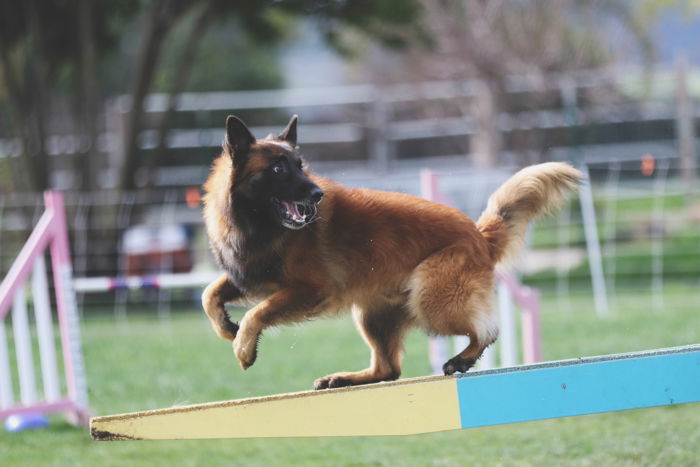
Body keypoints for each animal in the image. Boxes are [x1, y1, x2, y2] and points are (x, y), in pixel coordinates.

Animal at [201, 115, 580, 390]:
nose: (317, 195)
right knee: (388, 369)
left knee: (487, 330)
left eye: (300, 164)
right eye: (278, 168)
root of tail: (478, 234)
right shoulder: (250, 275)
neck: (257, 225)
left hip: (430, 299)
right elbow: (210, 294)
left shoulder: (309, 289)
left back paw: (461, 360)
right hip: (373, 315)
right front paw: (226, 328)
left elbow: (257, 312)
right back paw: (343, 379)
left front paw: (243, 348)